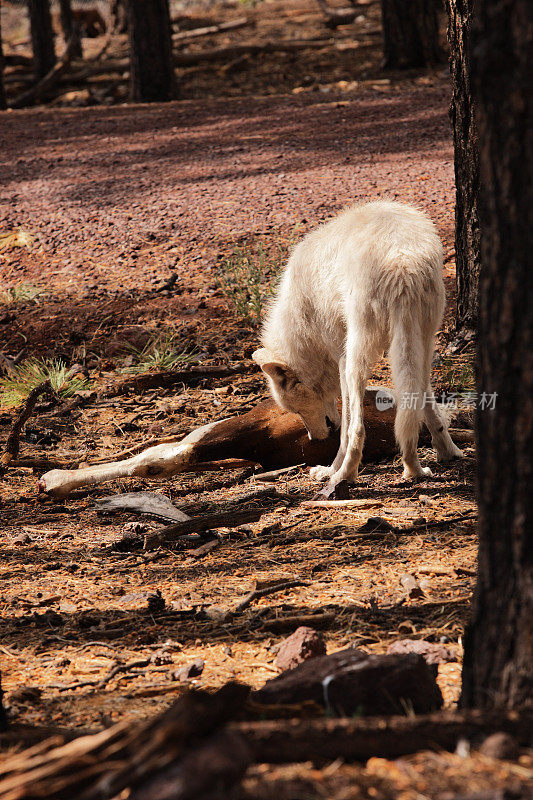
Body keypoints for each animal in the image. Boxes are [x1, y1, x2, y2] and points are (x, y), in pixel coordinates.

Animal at [254, 200, 462, 488]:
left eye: (296, 409)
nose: (314, 440)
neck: (304, 321)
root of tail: (401, 263)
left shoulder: (340, 358)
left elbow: (345, 427)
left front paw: (329, 469)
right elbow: (430, 408)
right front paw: (448, 451)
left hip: (356, 358)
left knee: (357, 429)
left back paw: (344, 475)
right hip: (421, 342)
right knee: (412, 402)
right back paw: (414, 469)